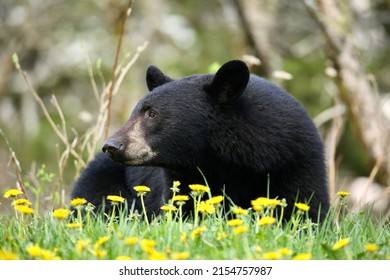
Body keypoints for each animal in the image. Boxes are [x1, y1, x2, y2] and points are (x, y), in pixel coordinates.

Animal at [71, 60, 330, 222]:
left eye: (151, 113)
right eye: (135, 111)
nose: (112, 145)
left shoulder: (297, 162)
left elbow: (307, 207)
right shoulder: (183, 178)